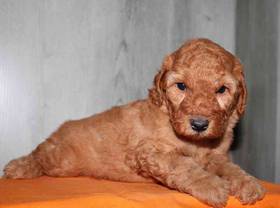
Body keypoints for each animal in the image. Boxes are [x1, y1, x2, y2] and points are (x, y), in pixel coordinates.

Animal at [3, 39, 264, 208]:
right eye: (181, 86)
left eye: (222, 90)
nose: (199, 124)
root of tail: (62, 127)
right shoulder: (149, 153)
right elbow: (183, 165)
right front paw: (212, 186)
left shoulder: (216, 156)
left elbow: (229, 168)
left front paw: (248, 183)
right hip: (61, 159)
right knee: (39, 153)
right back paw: (18, 167)